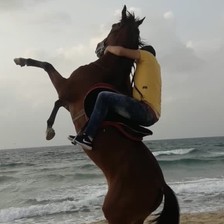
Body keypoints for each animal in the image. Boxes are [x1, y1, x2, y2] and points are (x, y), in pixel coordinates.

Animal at [14, 5, 179, 224]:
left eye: (114, 25)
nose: (99, 46)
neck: (104, 68)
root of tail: (161, 185)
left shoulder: (65, 90)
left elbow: (48, 68)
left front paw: (49, 129)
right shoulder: (67, 100)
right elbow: (55, 96)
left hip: (116, 214)